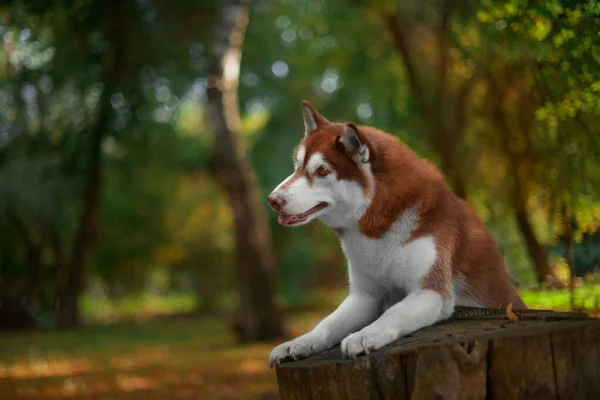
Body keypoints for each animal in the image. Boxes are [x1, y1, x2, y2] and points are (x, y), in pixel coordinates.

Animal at [268, 102, 524, 366]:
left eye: (321, 170)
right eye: (297, 166)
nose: (273, 200)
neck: (377, 231)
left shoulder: (431, 292)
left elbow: (394, 312)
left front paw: (363, 336)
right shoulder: (365, 296)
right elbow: (327, 323)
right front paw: (297, 343)